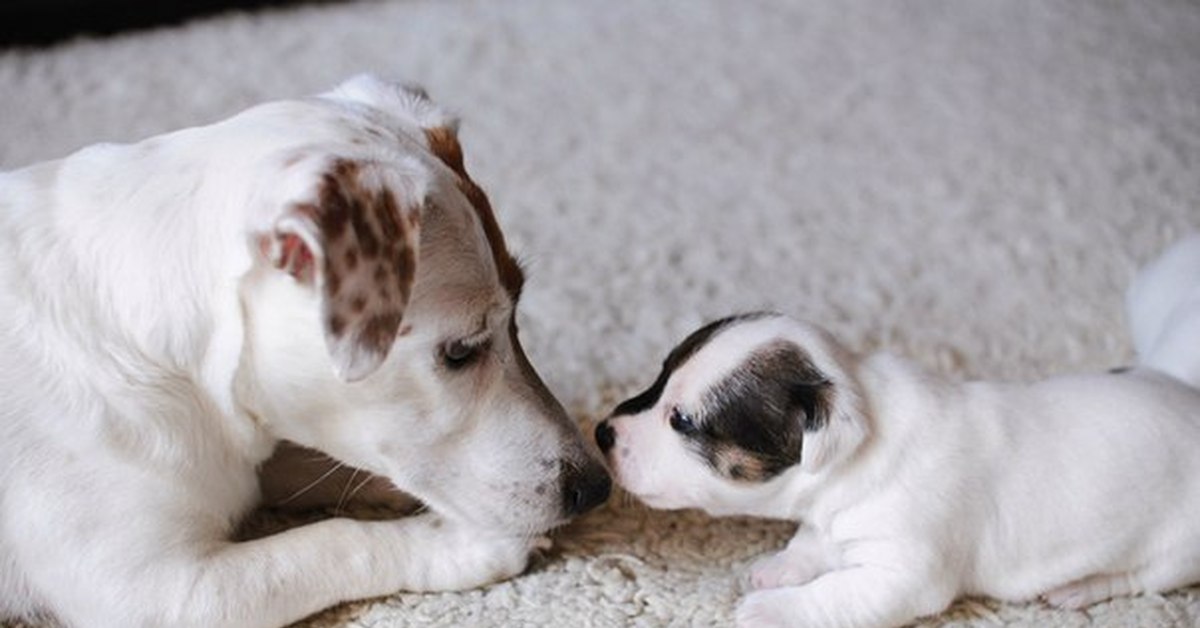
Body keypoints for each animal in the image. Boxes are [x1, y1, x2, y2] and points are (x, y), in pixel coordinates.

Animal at [0, 75, 609, 628]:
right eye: (461, 351)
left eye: (520, 310)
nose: (599, 488)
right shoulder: (156, 590)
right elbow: (331, 542)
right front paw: (458, 541)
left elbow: (304, 465)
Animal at [595, 242, 1200, 628]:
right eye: (660, 376)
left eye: (682, 420)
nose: (602, 432)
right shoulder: (829, 520)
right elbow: (812, 544)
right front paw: (779, 568)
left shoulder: (903, 573)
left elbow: (833, 593)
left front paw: (772, 610)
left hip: (1174, 549)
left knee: (1141, 578)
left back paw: (1080, 587)